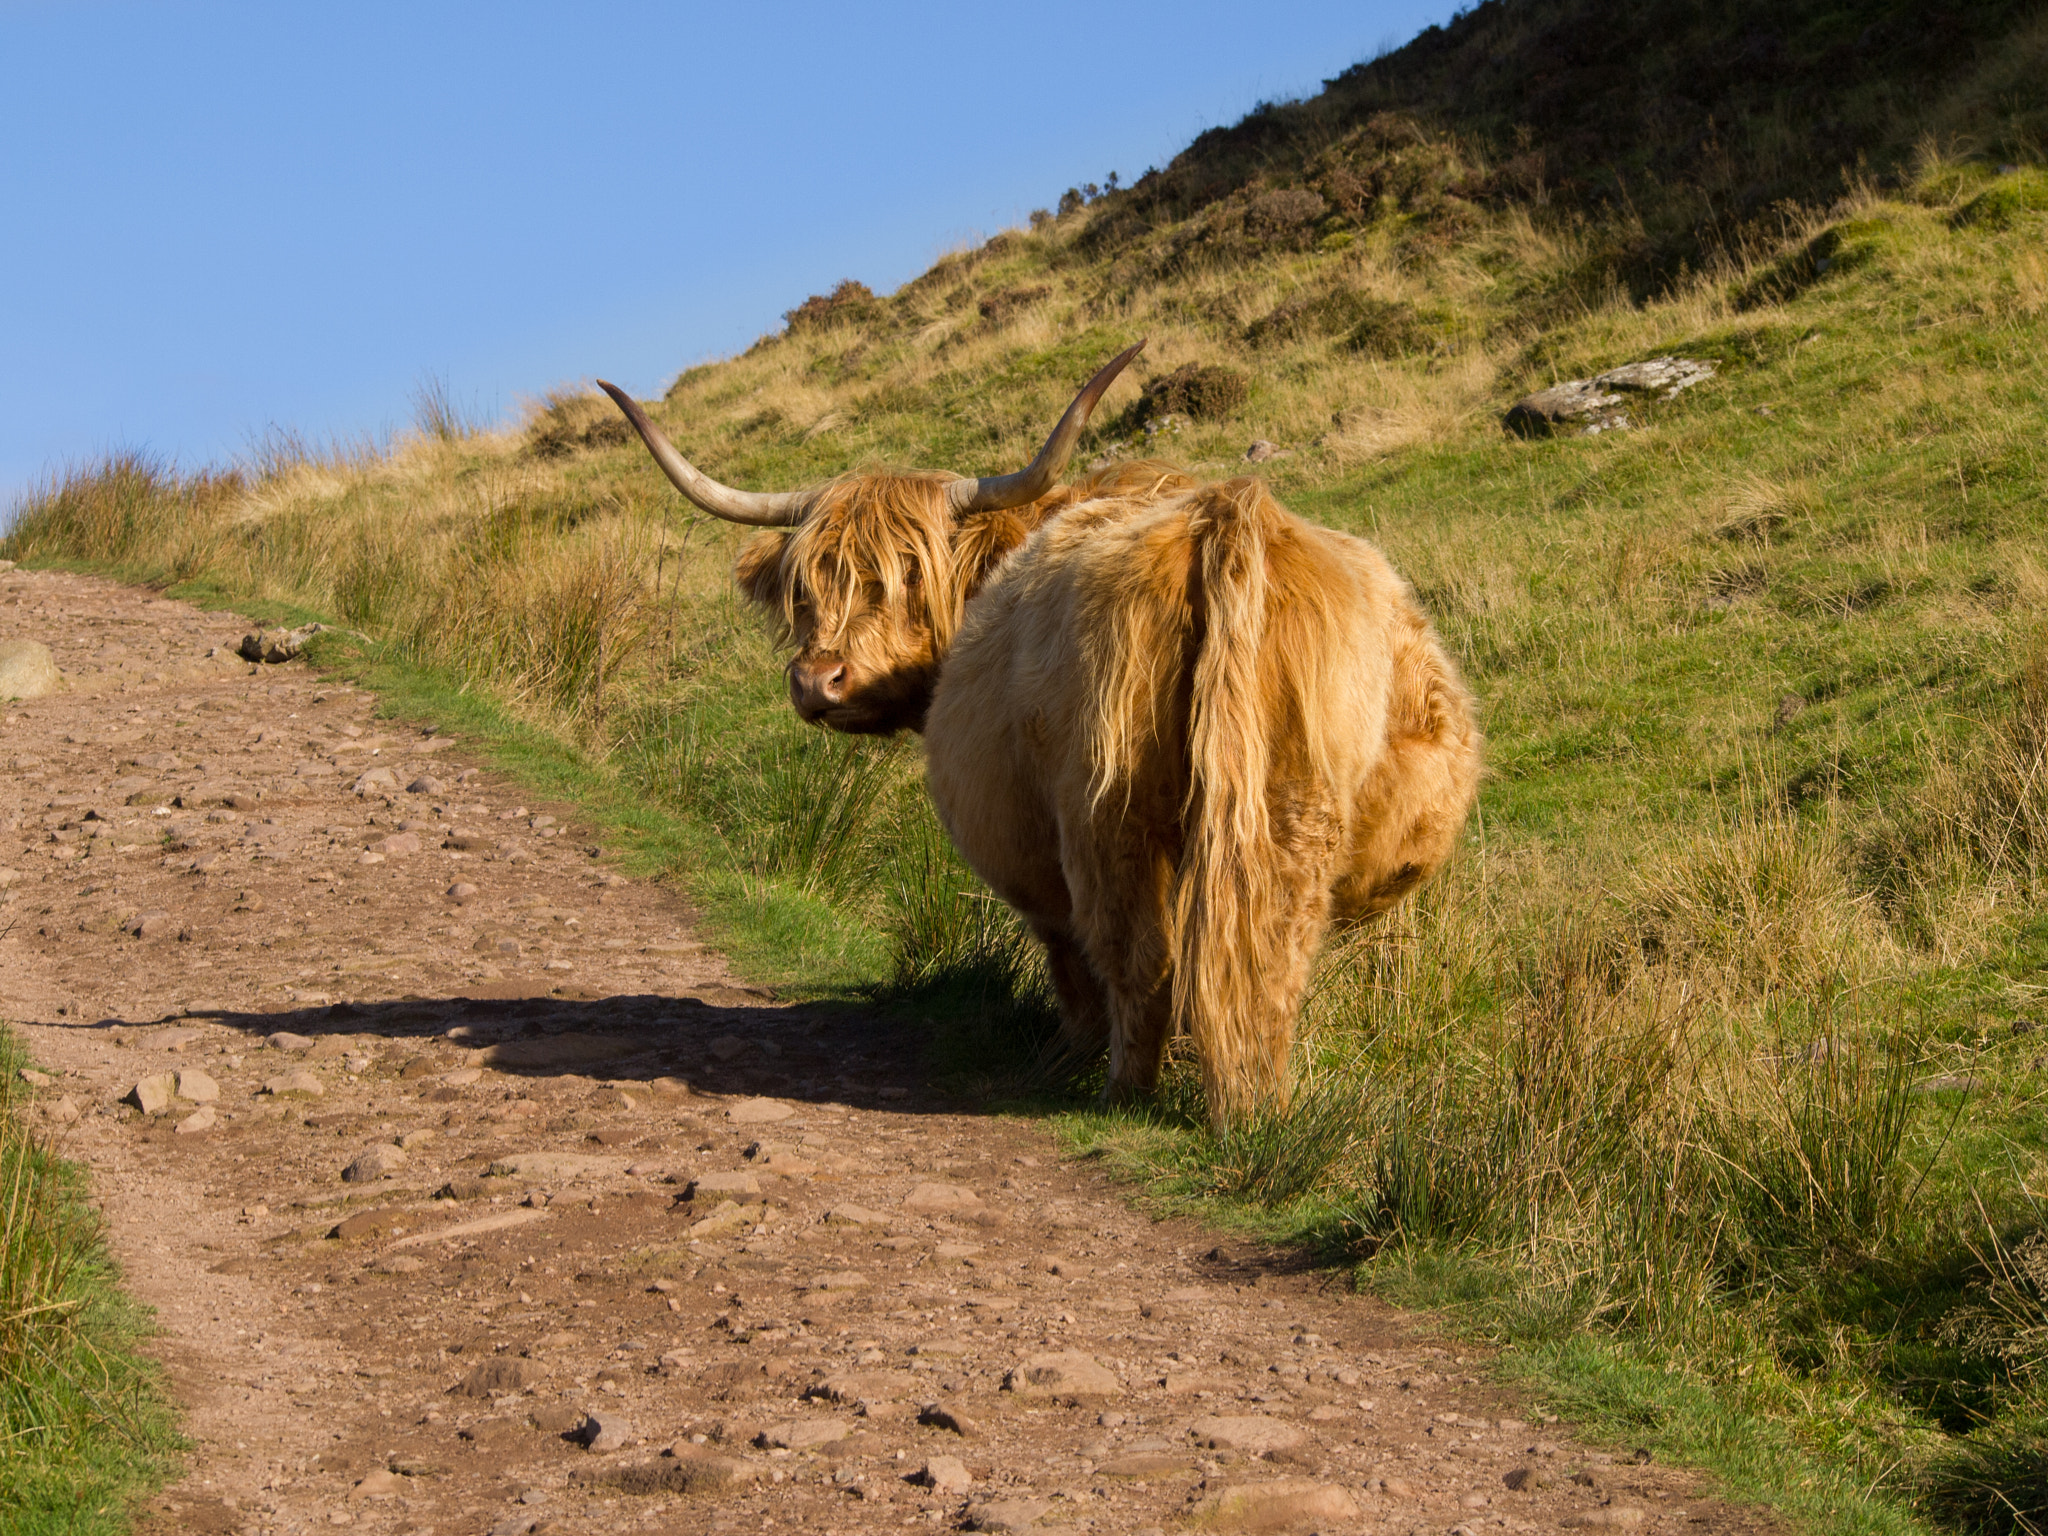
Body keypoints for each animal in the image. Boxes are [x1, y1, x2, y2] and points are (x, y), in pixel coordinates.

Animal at [599, 348, 1481, 1128]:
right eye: (806, 584)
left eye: (910, 571)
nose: (819, 680)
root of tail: (1227, 514)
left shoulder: (1034, 857)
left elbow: (1071, 959)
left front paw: (1068, 1057)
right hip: (1287, 803)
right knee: (1263, 952)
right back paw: (1255, 1111)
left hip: (1107, 813)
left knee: (1139, 956)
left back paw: (1123, 1092)